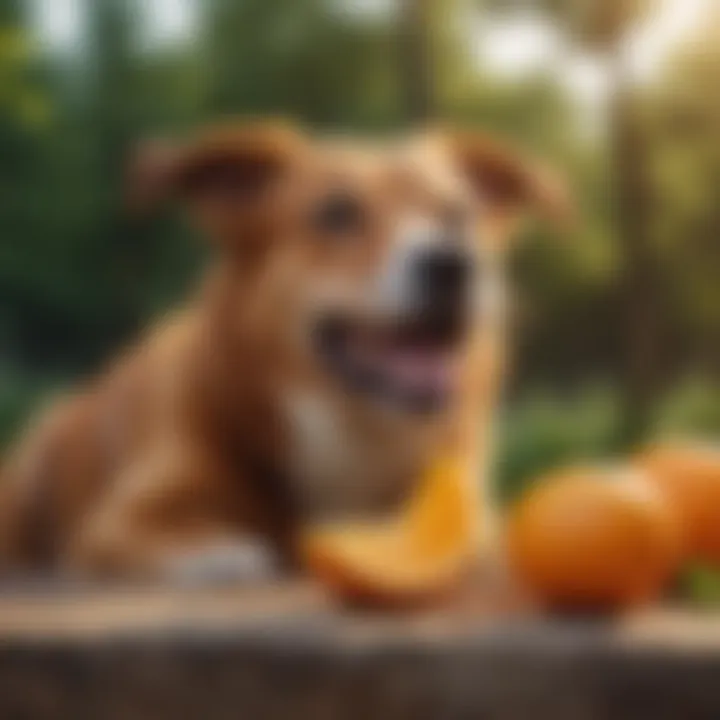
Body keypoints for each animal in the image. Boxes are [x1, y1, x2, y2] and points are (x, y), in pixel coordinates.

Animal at [0, 121, 568, 584]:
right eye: (336, 213)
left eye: (458, 213)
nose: (453, 264)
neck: (351, 428)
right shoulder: (118, 521)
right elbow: (223, 550)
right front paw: (234, 552)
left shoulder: (464, 509)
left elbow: (478, 537)